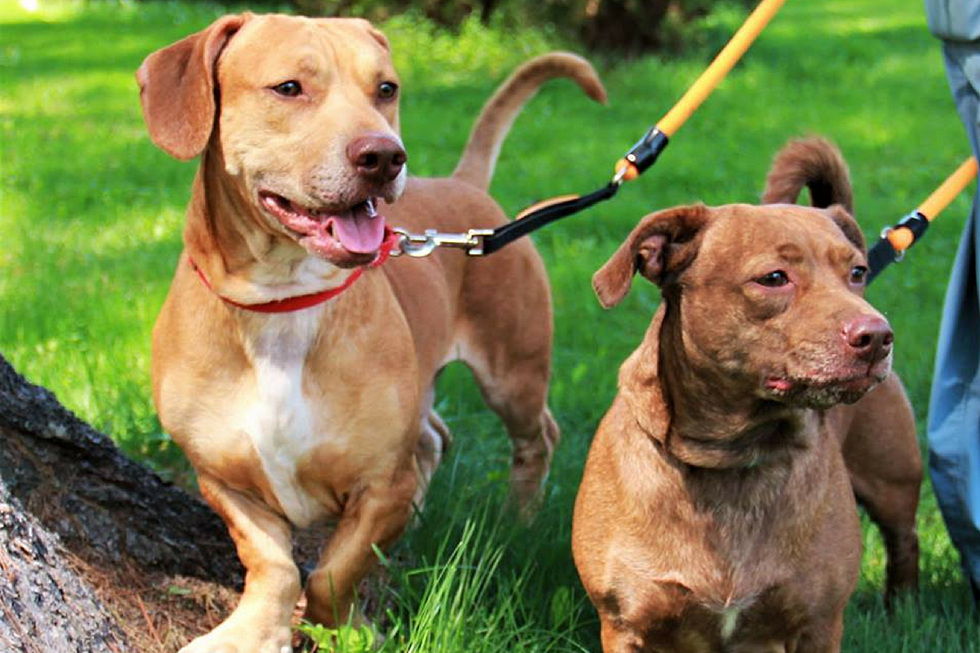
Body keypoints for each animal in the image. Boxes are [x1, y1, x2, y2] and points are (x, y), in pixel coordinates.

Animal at [134, 11, 600, 652]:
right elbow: (271, 564)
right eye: (289, 88)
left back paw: (518, 520)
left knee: (536, 439)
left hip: (514, 373)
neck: (283, 302)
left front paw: (342, 631)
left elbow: (335, 570)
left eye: (386, 89)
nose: (385, 156)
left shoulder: (381, 485)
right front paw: (252, 631)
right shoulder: (224, 480)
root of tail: (465, 185)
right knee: (434, 437)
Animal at [572, 139, 924, 652]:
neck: (735, 455)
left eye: (857, 272)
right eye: (774, 278)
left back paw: (904, 611)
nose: (878, 336)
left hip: (893, 479)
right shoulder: (625, 627)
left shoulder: (818, 626)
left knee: (904, 541)